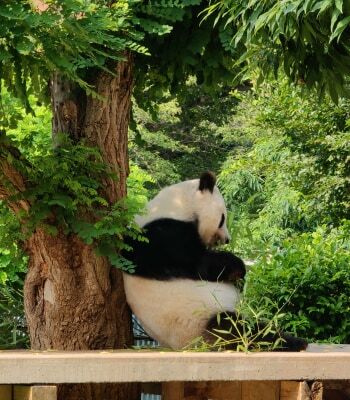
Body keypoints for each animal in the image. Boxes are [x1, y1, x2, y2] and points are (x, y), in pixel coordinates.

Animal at [122, 171, 306, 350]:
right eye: (222, 218)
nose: (227, 240)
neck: (175, 206)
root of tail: (192, 346)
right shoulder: (162, 238)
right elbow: (198, 263)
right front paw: (238, 268)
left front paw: (238, 279)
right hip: (201, 319)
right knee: (239, 329)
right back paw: (292, 342)